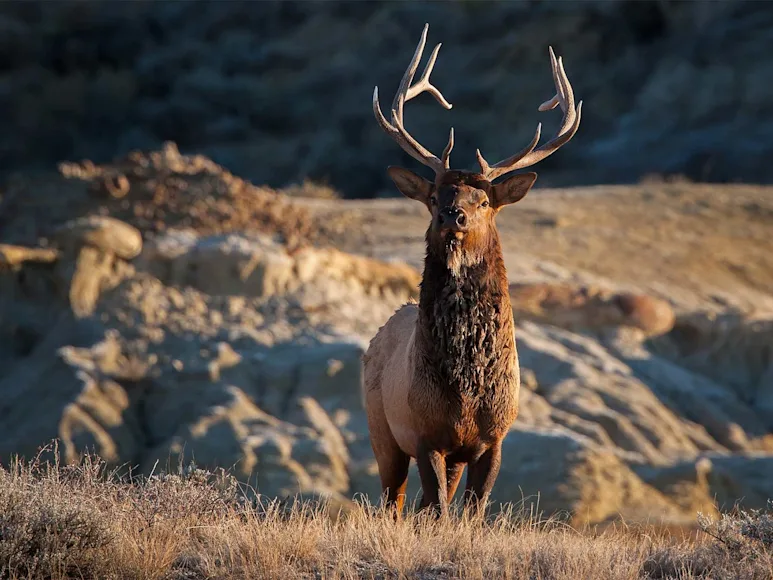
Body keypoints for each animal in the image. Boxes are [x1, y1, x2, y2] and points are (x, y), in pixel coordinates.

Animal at [361, 24, 582, 518]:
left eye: (483, 200)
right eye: (434, 196)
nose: (452, 214)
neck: (466, 390)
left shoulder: (493, 437)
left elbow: (473, 513)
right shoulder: (425, 433)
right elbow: (440, 510)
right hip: (382, 429)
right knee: (394, 501)